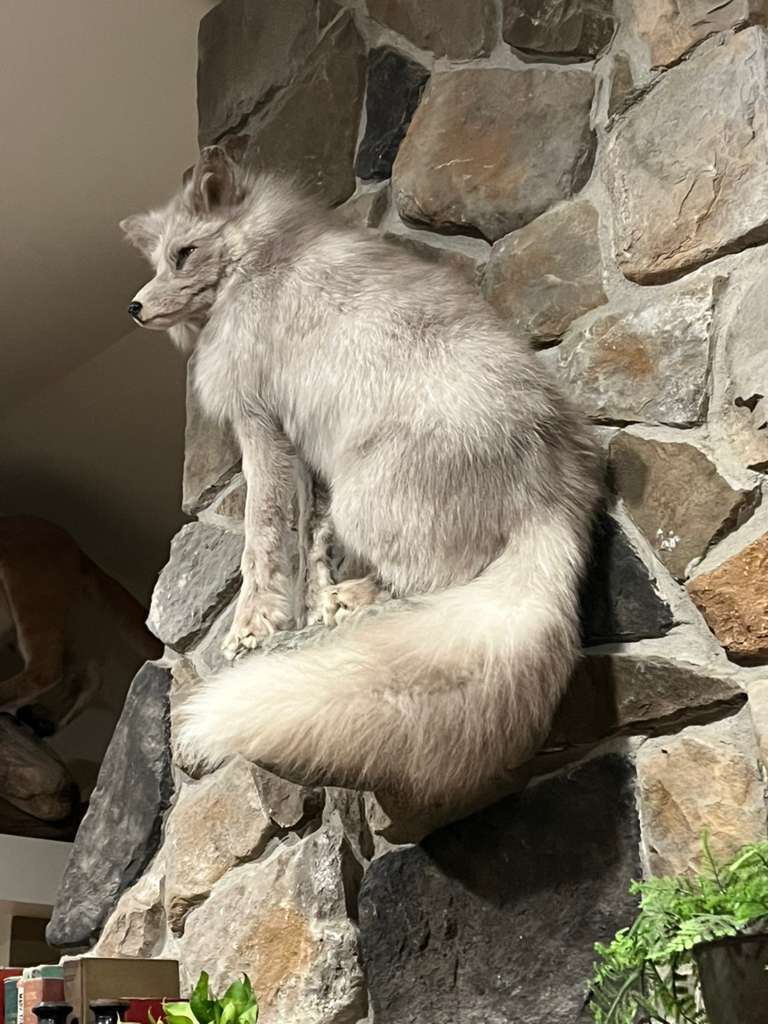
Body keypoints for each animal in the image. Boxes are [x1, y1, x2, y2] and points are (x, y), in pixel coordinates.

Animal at [120, 140, 601, 806]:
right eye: (156, 261)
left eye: (183, 255)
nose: (134, 307)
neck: (261, 260)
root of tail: (557, 484)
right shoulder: (290, 444)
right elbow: (292, 534)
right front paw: (293, 604)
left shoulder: (258, 422)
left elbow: (259, 538)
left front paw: (253, 625)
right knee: (355, 549)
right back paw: (332, 587)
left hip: (369, 504)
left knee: (436, 582)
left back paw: (350, 600)